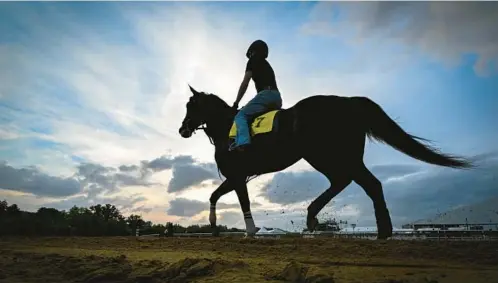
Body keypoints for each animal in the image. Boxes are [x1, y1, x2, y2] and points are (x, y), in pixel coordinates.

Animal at [177, 86, 472, 240]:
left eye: (191, 106)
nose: (182, 129)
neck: (226, 126)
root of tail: (349, 102)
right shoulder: (236, 177)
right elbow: (214, 196)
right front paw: (214, 226)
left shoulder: (238, 176)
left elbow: (241, 202)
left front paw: (249, 231)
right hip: (337, 157)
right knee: (359, 183)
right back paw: (375, 230)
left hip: (326, 155)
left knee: (355, 182)